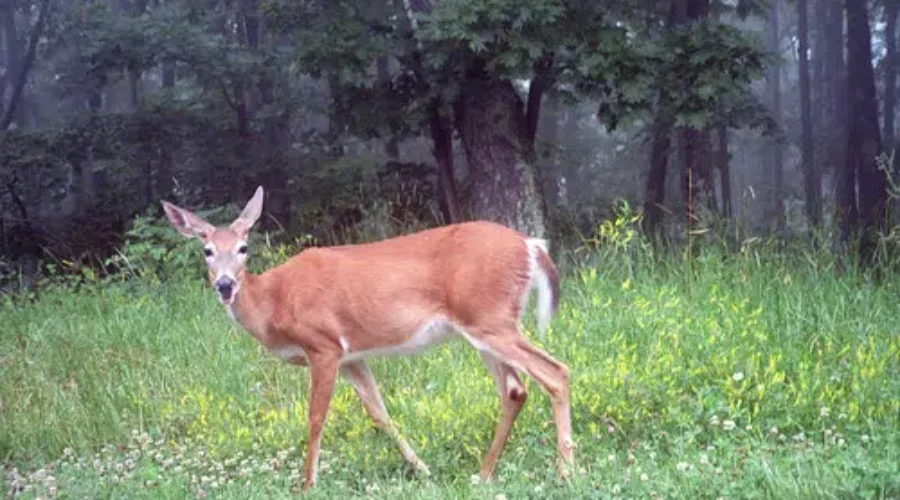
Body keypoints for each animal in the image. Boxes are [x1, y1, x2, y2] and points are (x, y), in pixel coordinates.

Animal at [162, 186, 574, 491]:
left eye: (243, 248)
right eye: (207, 250)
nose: (225, 285)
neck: (273, 302)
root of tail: (532, 245)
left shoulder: (323, 345)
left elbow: (315, 418)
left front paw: (307, 485)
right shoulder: (352, 357)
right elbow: (380, 414)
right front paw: (423, 470)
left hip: (491, 320)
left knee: (555, 372)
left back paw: (566, 471)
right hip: (483, 326)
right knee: (515, 390)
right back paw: (484, 474)